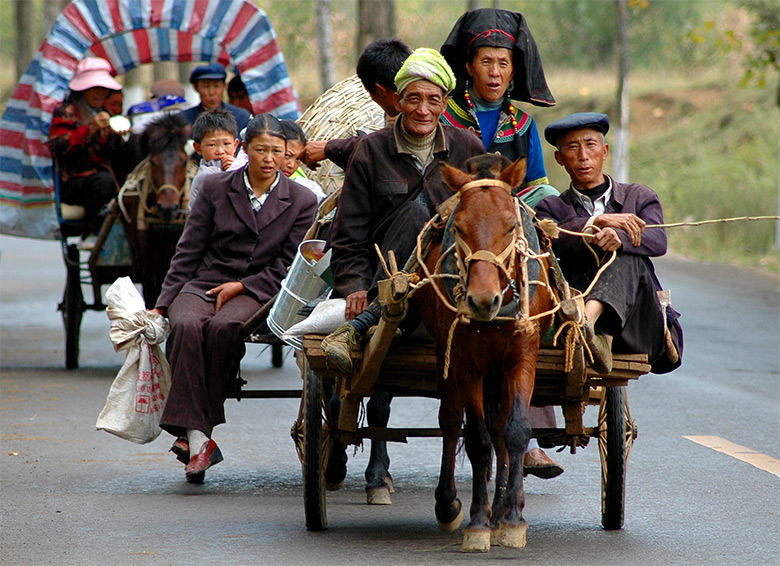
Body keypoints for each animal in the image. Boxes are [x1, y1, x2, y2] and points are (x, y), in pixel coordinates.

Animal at [414, 155, 560, 556]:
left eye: (511, 226)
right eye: (459, 228)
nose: (483, 300)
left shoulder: (522, 359)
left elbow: (515, 432)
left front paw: (511, 519)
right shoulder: (467, 364)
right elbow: (477, 441)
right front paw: (478, 523)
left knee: (500, 431)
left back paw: (503, 507)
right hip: (448, 358)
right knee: (451, 423)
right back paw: (449, 503)